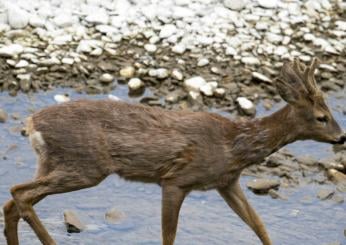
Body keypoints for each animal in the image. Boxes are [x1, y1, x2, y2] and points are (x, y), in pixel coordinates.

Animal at [2, 58, 346, 245]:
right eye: (321, 117)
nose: (341, 137)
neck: (234, 144)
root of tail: (31, 122)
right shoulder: (176, 179)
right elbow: (169, 236)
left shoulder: (227, 182)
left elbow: (259, 225)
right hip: (85, 166)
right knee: (19, 192)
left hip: (53, 163)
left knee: (13, 202)